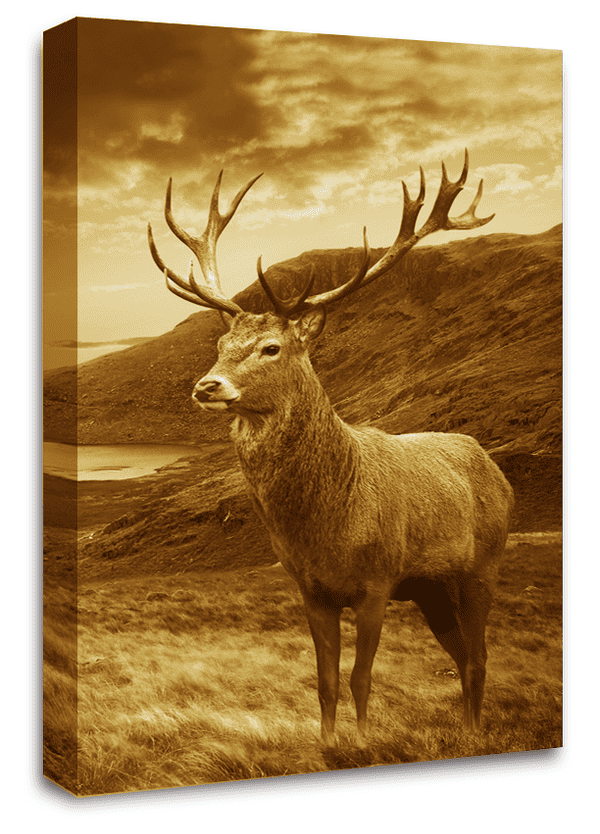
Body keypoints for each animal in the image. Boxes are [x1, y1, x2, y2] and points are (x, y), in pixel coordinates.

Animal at [148, 150, 514, 746]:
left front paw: (363, 742)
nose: (207, 386)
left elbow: (362, 677)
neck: (329, 525)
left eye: (272, 347)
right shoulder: (311, 589)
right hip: (432, 588)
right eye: (222, 342)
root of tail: (493, 466)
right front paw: (326, 743)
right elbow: (324, 679)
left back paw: (474, 733)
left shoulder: (377, 581)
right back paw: (465, 730)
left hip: (482, 565)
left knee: (480, 656)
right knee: (462, 656)